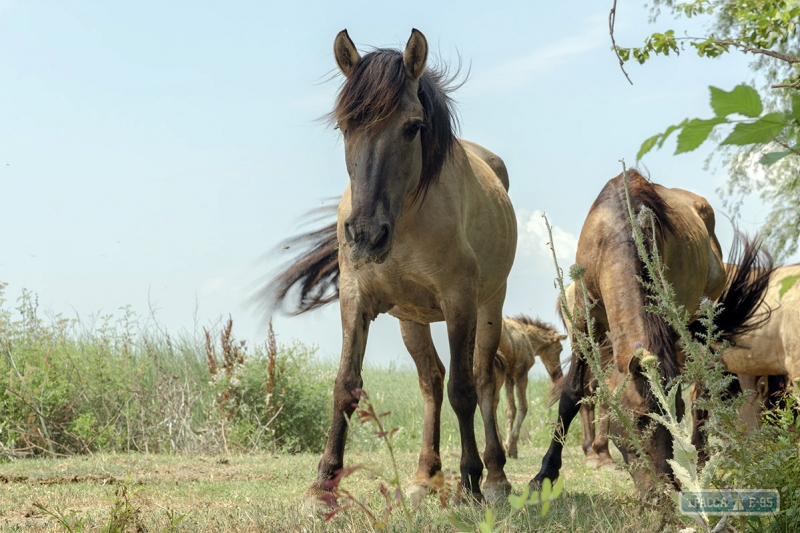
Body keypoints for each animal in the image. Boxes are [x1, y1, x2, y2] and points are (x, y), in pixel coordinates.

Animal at [272, 31, 516, 500]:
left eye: (413, 126)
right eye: (344, 126)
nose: (366, 235)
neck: (406, 218)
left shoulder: (459, 301)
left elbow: (463, 390)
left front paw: (471, 481)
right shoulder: (356, 298)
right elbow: (346, 385)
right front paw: (323, 483)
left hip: (490, 305)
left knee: (481, 377)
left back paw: (495, 477)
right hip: (411, 319)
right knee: (430, 381)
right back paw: (423, 477)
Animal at [490, 316, 564, 458]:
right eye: (560, 349)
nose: (558, 375)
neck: (528, 338)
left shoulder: (509, 376)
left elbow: (510, 409)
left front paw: (508, 446)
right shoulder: (521, 373)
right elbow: (523, 407)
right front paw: (512, 448)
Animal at [532, 169, 768, 490]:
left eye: (675, 414)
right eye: (640, 419)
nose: (665, 488)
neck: (614, 233)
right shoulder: (583, 318)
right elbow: (571, 395)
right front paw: (544, 474)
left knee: (701, 386)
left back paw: (701, 456)